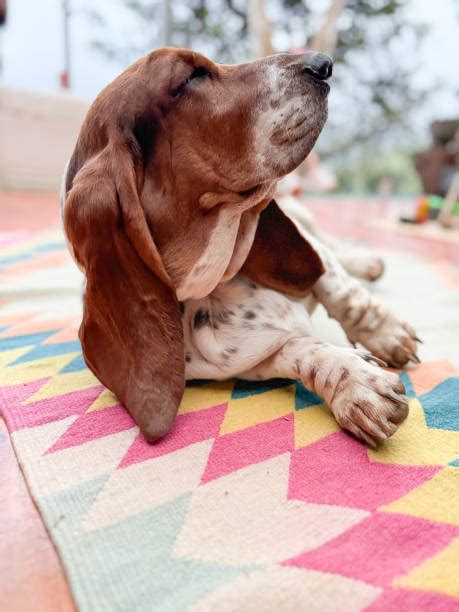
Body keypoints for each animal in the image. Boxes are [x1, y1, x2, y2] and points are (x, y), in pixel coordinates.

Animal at [62, 47, 420, 448]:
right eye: (190, 78)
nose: (323, 63)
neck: (213, 285)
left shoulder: (314, 253)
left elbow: (344, 293)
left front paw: (386, 335)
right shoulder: (254, 359)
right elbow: (301, 351)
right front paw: (355, 383)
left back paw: (370, 263)